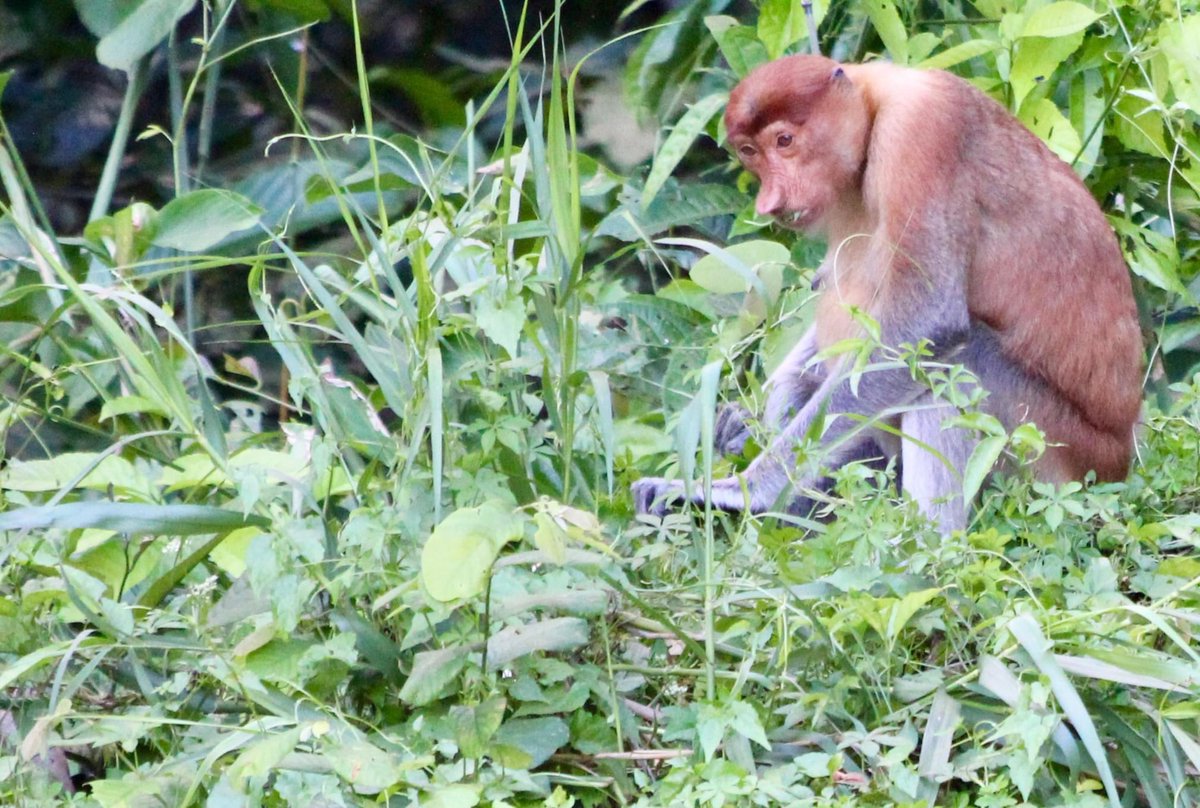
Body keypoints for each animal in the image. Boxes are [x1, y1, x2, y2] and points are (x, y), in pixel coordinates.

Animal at [628, 53, 1142, 525]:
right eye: (750, 152)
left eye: (785, 141)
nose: (771, 202)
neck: (875, 106)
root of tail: (1118, 461)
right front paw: (740, 421)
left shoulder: (921, 131)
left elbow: (927, 323)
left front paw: (737, 492)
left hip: (1053, 456)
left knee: (956, 364)